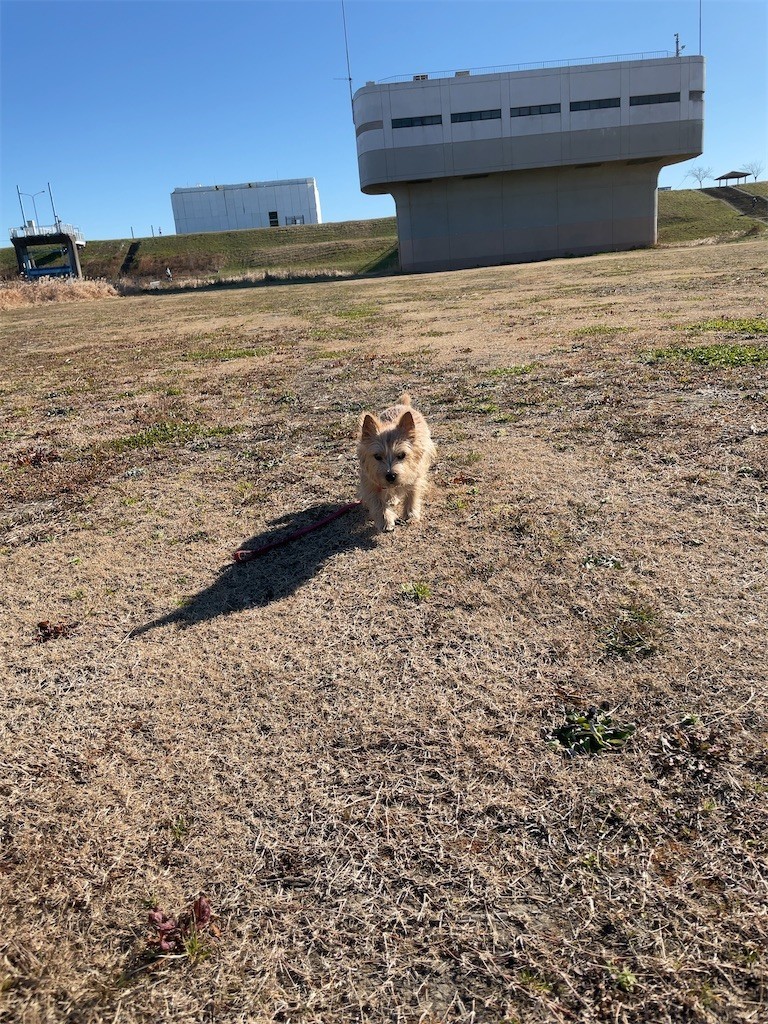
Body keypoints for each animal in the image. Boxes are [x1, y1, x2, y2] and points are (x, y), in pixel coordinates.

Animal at [358, 391, 436, 532]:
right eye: (377, 456)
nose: (390, 476)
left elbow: (413, 494)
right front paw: (385, 521)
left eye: (401, 455)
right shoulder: (370, 483)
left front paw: (411, 514)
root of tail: (402, 405)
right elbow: (378, 502)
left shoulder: (416, 475)